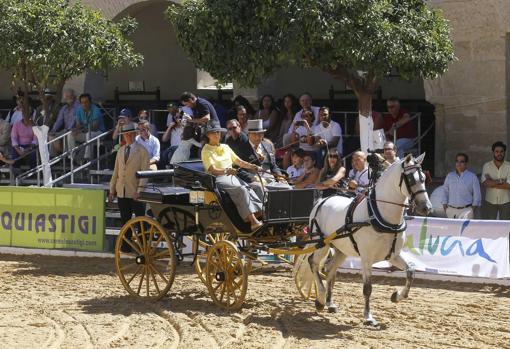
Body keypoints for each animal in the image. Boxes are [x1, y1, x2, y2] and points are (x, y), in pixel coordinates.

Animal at [300, 152, 432, 326]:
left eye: (423, 178)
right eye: (410, 179)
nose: (426, 207)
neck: (380, 215)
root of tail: (322, 201)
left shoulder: (393, 255)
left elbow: (411, 271)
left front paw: (396, 296)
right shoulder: (367, 259)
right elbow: (367, 288)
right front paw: (369, 317)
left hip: (341, 249)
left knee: (329, 269)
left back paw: (330, 303)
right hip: (321, 243)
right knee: (313, 263)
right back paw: (320, 300)